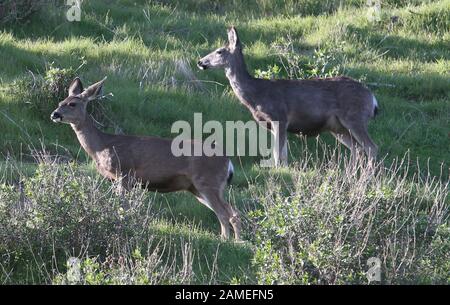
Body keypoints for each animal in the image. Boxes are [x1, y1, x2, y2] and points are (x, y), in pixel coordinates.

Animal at [50, 77, 241, 241]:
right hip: (196, 187)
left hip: (207, 181)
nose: (55, 114)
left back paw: (229, 240)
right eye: (60, 103)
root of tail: (228, 162)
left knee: (226, 213)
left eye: (72, 104)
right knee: (231, 211)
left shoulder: (124, 173)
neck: (102, 146)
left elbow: (122, 207)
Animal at [199, 27, 378, 166]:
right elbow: (282, 154)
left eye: (219, 51)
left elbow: (278, 153)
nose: (200, 62)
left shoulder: (279, 116)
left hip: (354, 117)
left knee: (371, 147)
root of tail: (372, 97)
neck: (256, 95)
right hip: (338, 127)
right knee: (358, 149)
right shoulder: (274, 124)